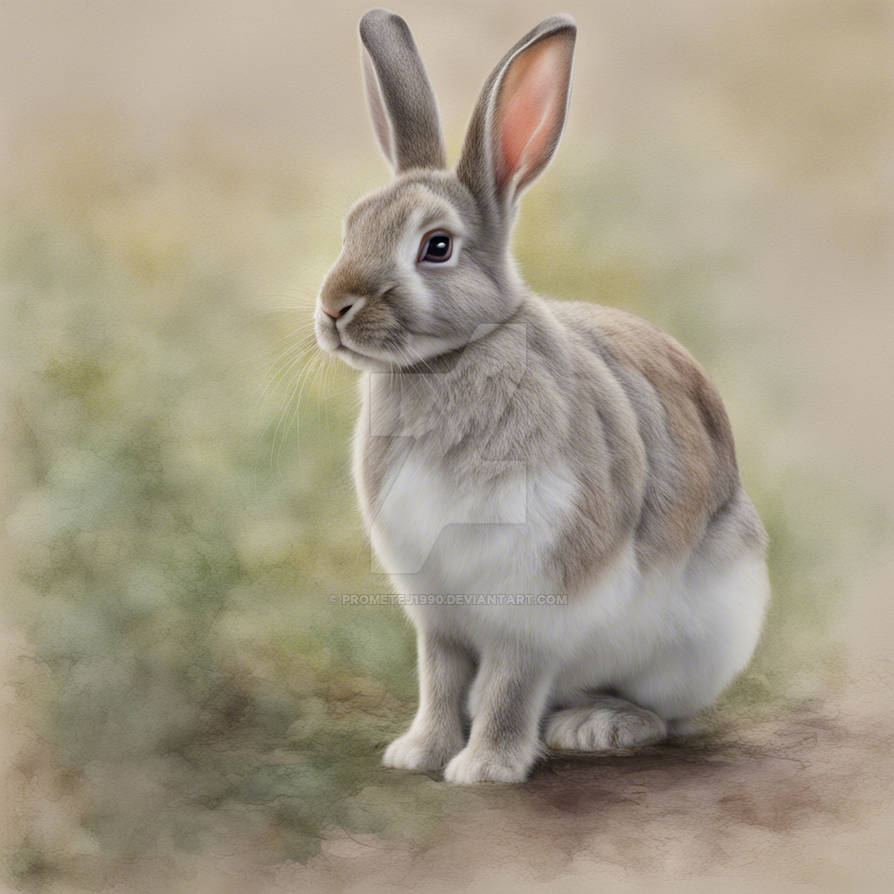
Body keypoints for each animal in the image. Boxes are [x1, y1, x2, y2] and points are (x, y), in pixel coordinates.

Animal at [313, 8, 770, 784]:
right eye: (352, 225)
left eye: (437, 247)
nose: (334, 308)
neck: (447, 362)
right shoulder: (437, 608)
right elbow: (440, 678)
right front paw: (418, 754)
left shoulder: (537, 595)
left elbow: (509, 680)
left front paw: (484, 769)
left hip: (700, 631)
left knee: (663, 714)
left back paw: (596, 727)